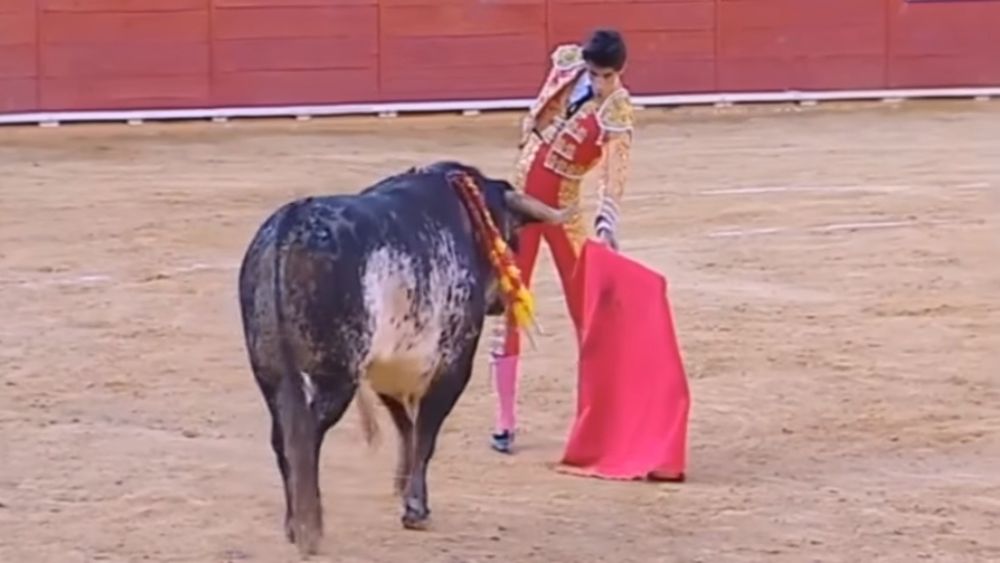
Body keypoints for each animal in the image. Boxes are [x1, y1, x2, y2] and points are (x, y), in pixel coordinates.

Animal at [235, 161, 576, 556]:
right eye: (510, 235)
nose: (501, 302)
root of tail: (289, 226)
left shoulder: (387, 367)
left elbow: (406, 426)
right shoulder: (452, 367)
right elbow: (425, 434)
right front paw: (416, 509)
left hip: (269, 371)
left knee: (282, 438)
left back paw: (293, 525)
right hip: (334, 376)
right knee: (306, 435)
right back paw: (311, 529)